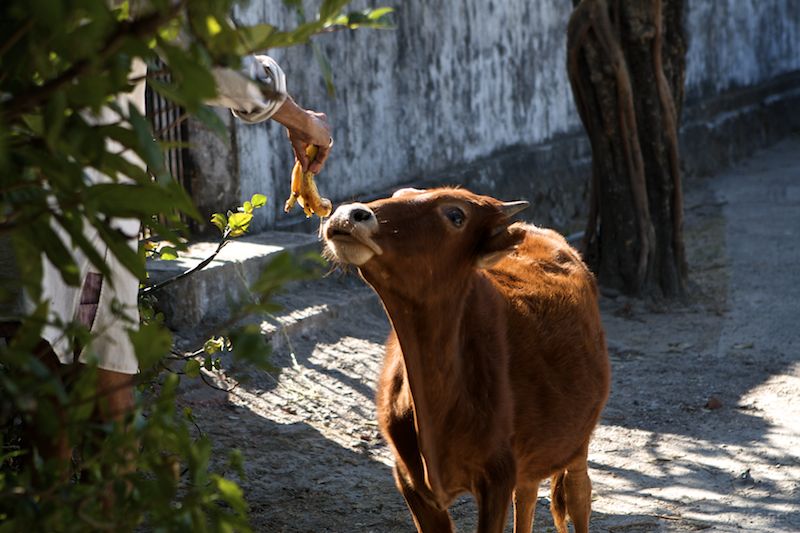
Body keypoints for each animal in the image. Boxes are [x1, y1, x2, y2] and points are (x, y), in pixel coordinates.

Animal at [322, 188, 608, 532]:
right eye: (398, 194)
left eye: (456, 215)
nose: (349, 214)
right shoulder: (409, 479)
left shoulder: (496, 477)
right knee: (526, 496)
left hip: (578, 440)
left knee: (579, 495)